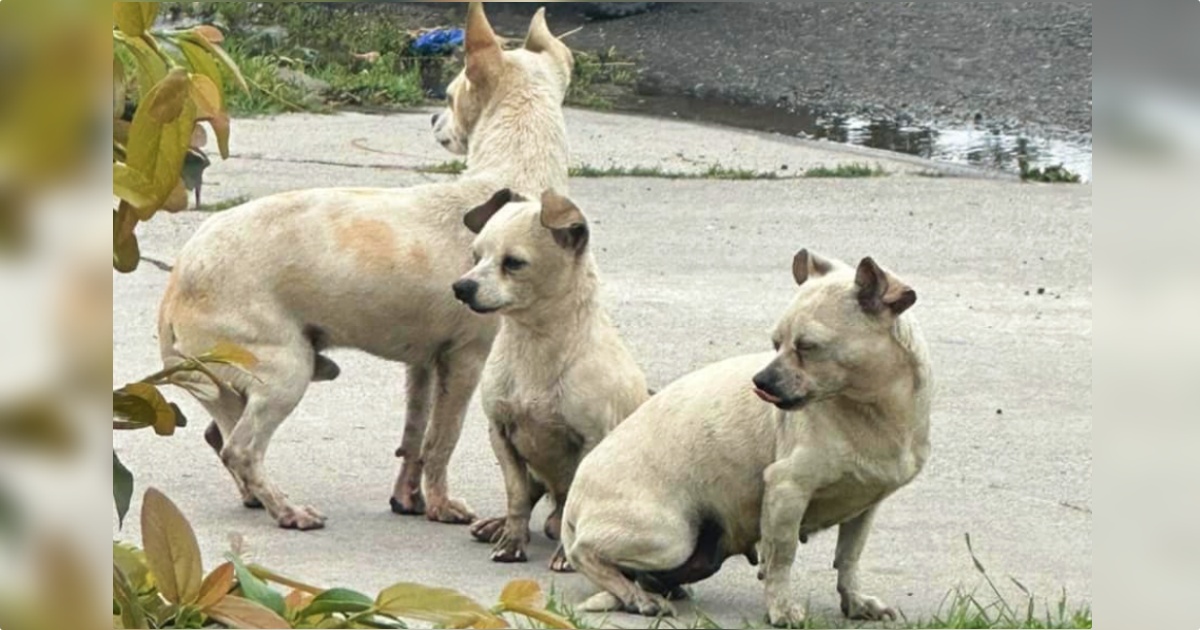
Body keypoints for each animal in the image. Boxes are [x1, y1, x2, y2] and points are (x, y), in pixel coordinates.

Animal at [451, 188, 657, 568]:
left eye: (513, 263)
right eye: (475, 256)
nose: (461, 287)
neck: (533, 344)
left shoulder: (590, 441)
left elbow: (572, 504)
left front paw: (565, 554)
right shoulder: (501, 434)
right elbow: (516, 496)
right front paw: (511, 542)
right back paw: (497, 525)